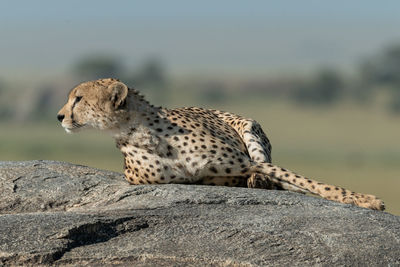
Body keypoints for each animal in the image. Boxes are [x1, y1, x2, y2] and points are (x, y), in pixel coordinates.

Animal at [57, 77, 384, 211]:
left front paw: (366, 200)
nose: (59, 116)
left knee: (269, 170)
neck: (138, 132)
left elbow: (310, 182)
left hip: (249, 130)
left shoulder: (243, 161)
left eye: (79, 99)